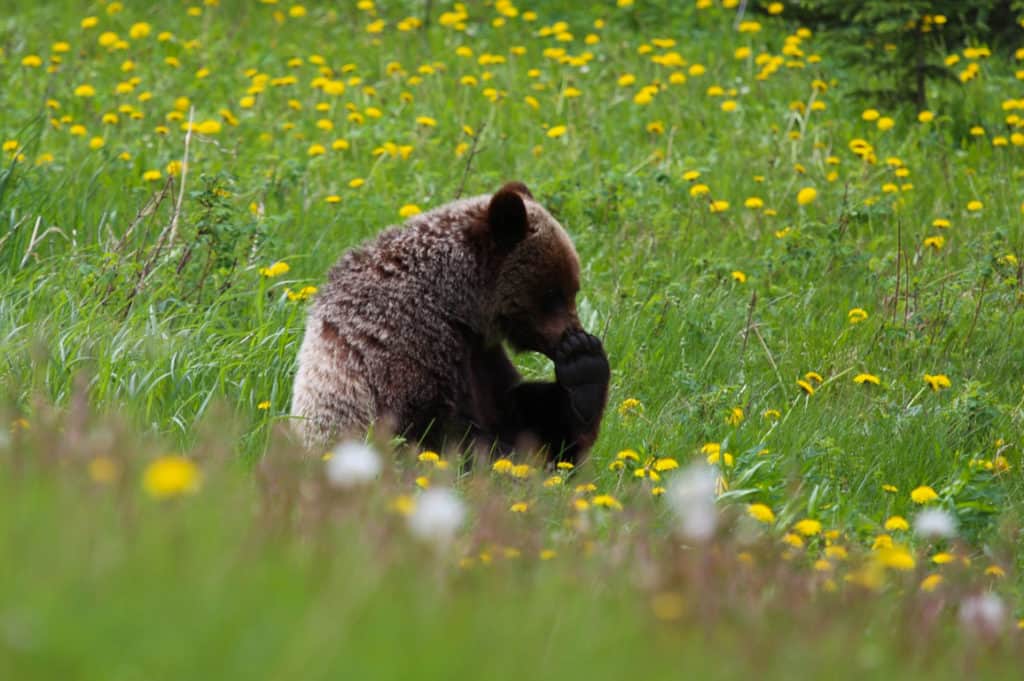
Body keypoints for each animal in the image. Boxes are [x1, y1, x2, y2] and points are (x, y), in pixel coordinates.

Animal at [288, 182, 606, 462]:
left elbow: (521, 410)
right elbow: (438, 432)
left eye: (573, 288)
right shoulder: (410, 347)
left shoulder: (481, 356)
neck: (457, 306)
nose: (571, 334)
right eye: (553, 293)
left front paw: (583, 365)